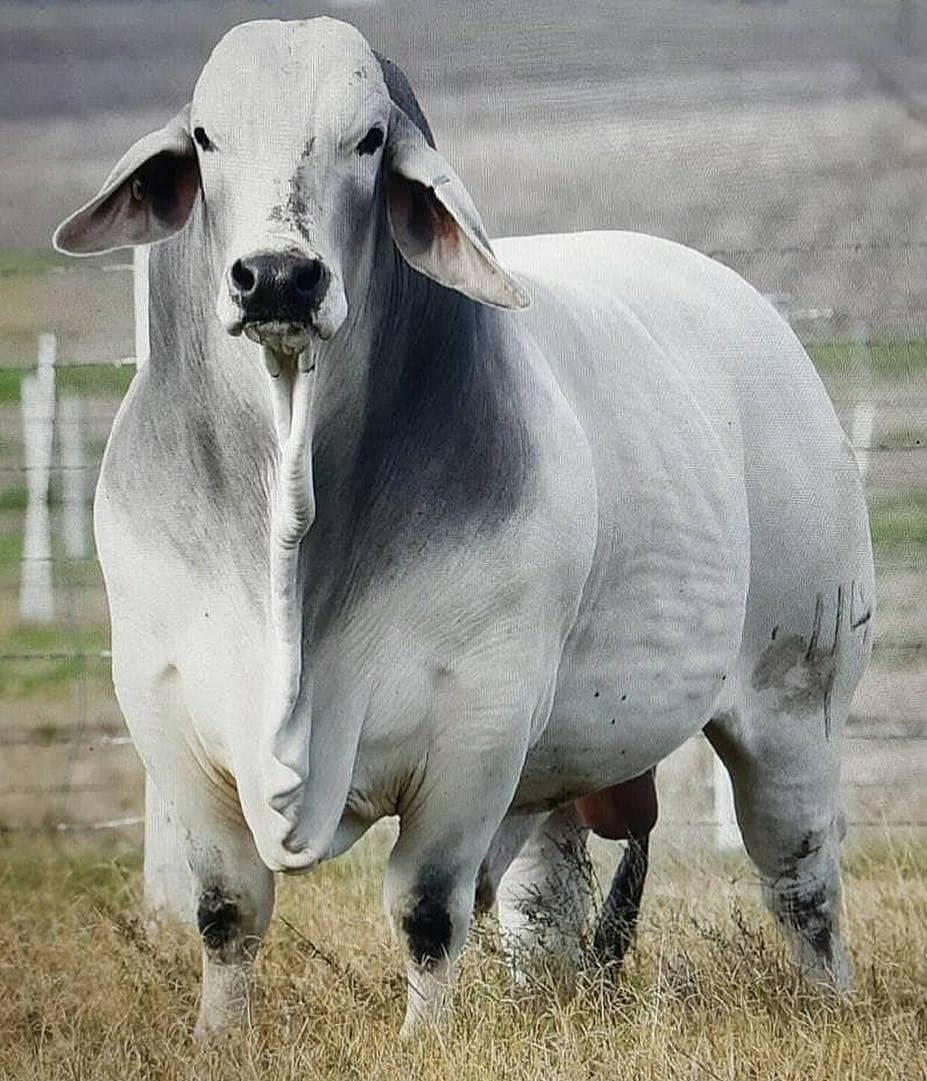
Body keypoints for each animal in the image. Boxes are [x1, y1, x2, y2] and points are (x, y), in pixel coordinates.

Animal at [54, 16, 868, 1037]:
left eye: (369, 139)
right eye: (205, 137)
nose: (278, 277)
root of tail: (764, 324)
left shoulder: (474, 725)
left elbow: (427, 910)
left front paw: (421, 1038)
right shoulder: (167, 708)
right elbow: (226, 908)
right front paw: (216, 1038)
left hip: (797, 698)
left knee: (800, 879)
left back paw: (828, 1001)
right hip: (558, 758)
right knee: (544, 895)